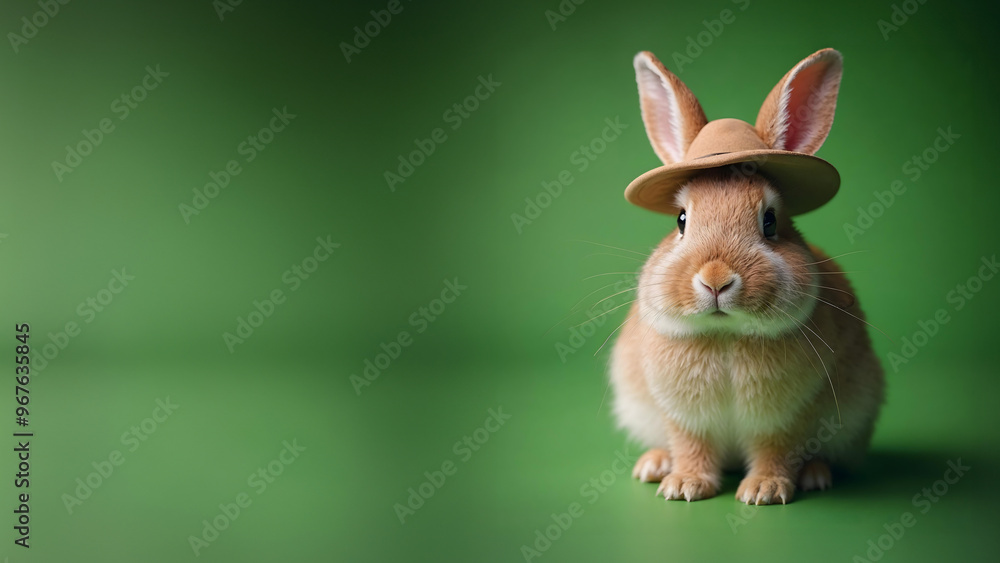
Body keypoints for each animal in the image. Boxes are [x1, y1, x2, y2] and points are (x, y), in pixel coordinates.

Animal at [609, 48, 884, 505]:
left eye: (770, 222)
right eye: (681, 219)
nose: (716, 279)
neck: (726, 335)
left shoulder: (786, 419)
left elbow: (777, 450)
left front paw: (764, 491)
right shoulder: (684, 417)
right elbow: (690, 445)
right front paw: (684, 486)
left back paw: (815, 475)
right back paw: (654, 464)